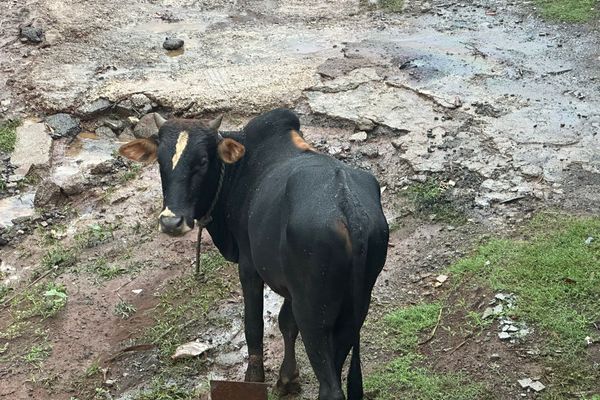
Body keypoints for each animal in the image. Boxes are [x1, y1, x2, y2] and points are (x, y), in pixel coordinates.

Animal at [119, 109, 390, 400]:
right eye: (160, 160)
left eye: (202, 160)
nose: (171, 222)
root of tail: (348, 206)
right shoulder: (290, 284)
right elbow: (285, 323)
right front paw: (288, 379)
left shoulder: (250, 267)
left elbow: (253, 326)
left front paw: (255, 378)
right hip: (355, 306)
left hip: (314, 311)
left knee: (330, 386)